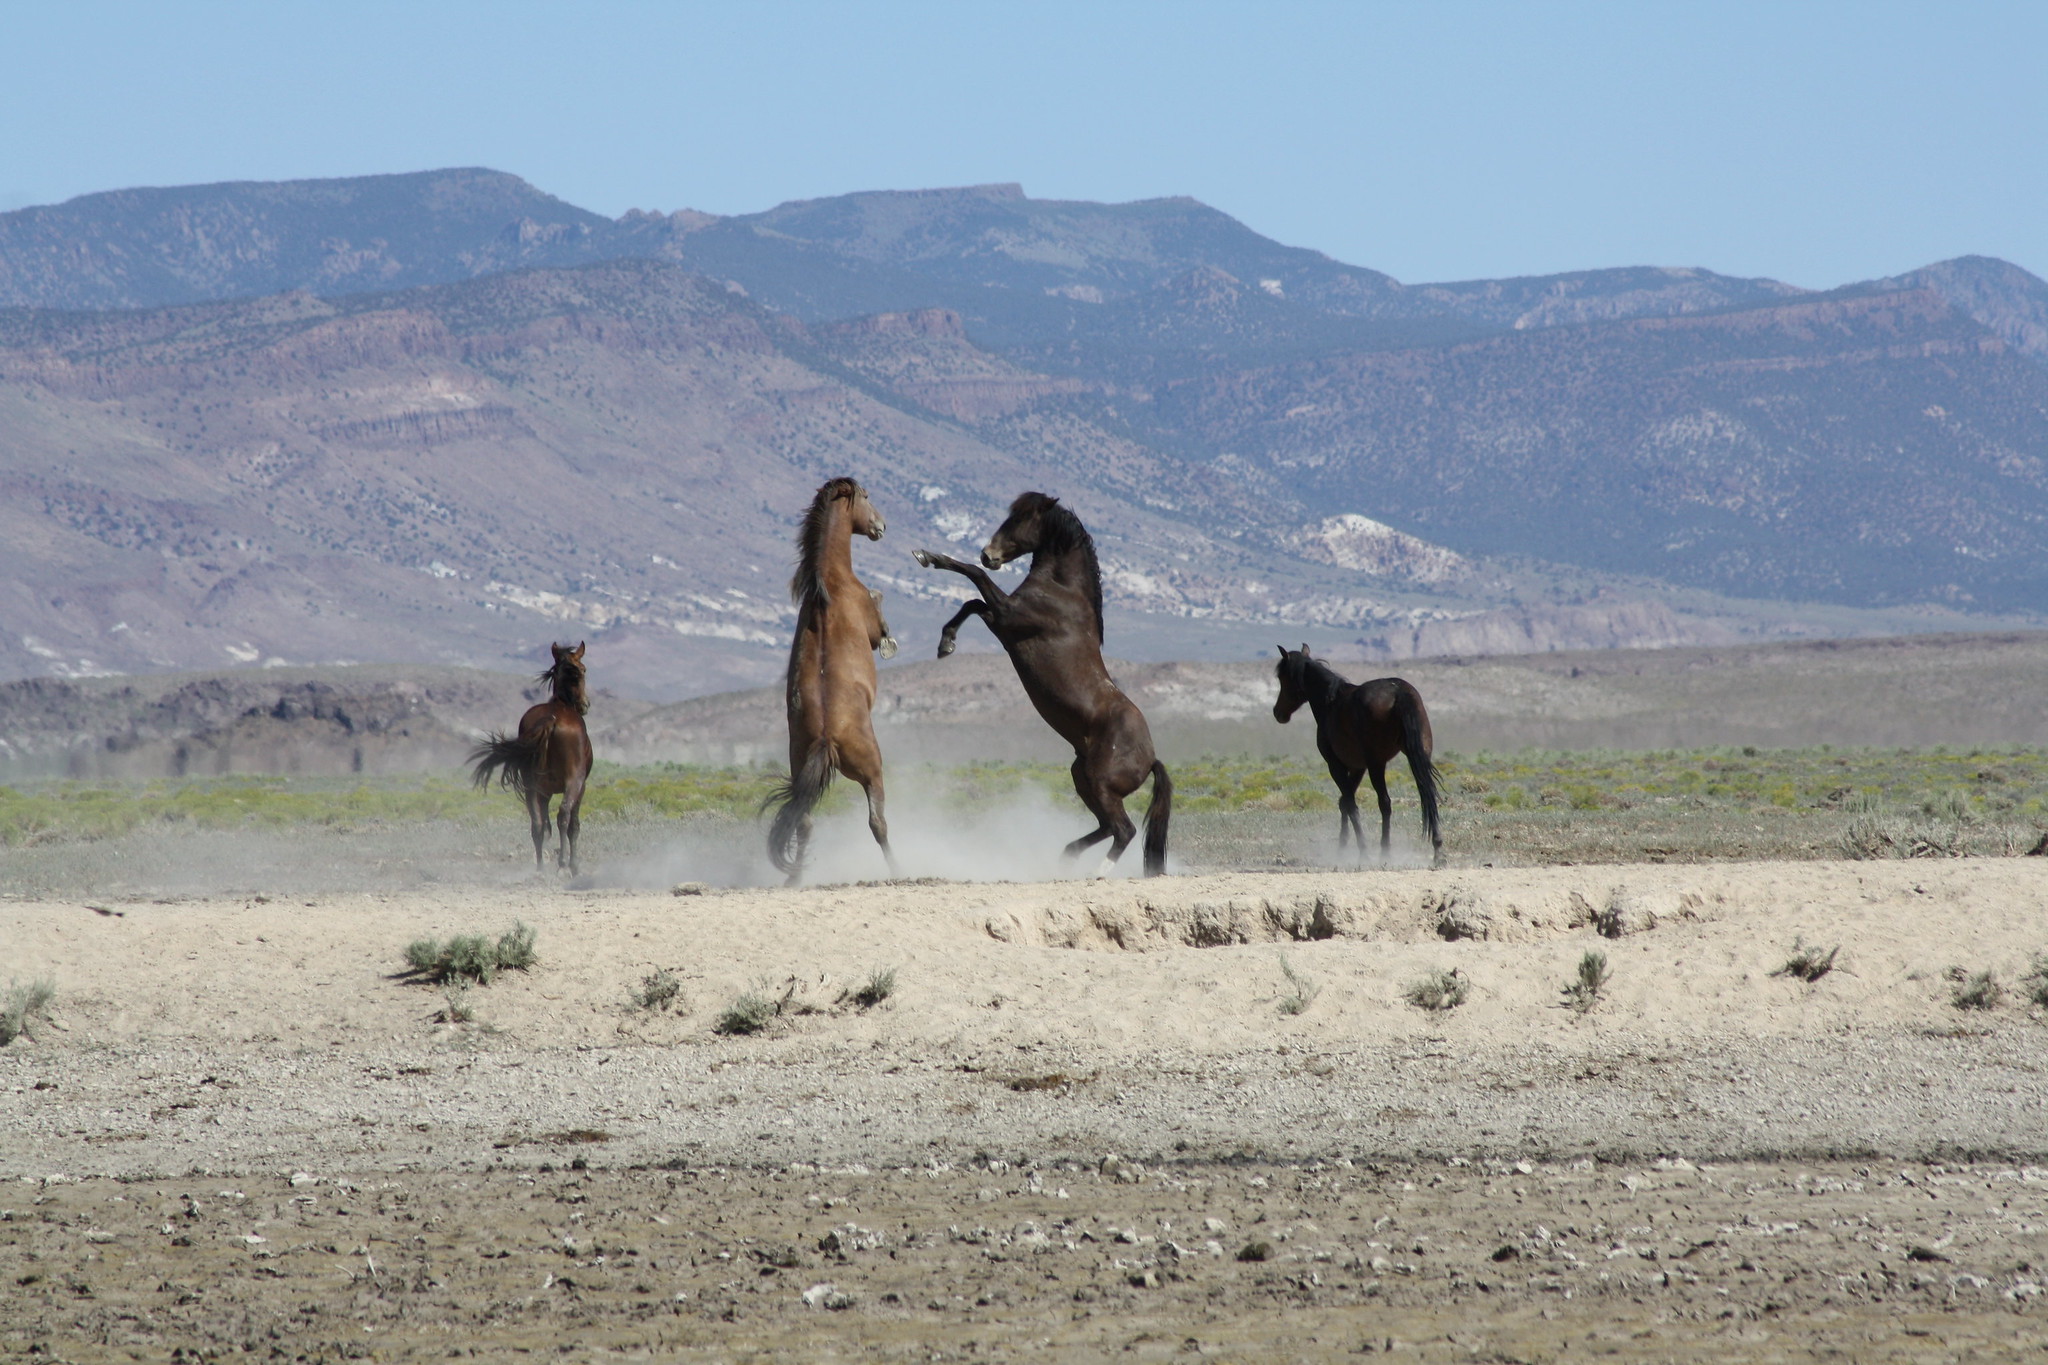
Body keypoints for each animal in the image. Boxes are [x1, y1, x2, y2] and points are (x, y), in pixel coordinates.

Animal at [466, 642, 593, 875]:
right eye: (583, 669)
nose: (585, 704)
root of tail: (552, 719)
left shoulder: (544, 792)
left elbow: (543, 824)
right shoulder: (581, 786)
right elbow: (574, 825)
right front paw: (574, 866)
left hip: (531, 786)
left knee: (537, 824)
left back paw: (540, 868)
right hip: (572, 782)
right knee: (563, 816)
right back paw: (562, 864)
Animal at [765, 480, 901, 879]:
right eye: (867, 497)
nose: (881, 526)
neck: (829, 583)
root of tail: (827, 737)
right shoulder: (870, 620)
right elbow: (878, 601)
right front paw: (890, 641)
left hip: (800, 768)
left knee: (804, 821)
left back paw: (794, 878)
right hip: (871, 770)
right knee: (877, 821)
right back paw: (899, 869)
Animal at [913, 491, 1171, 875]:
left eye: (1020, 520)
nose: (988, 554)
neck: (1062, 590)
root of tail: (1150, 757)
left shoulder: (1007, 617)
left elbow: (974, 581)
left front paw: (929, 558)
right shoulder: (1001, 618)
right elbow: (972, 601)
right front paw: (946, 643)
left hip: (1101, 784)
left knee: (1123, 829)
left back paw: (1097, 873)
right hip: (1082, 778)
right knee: (1107, 827)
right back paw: (1067, 855)